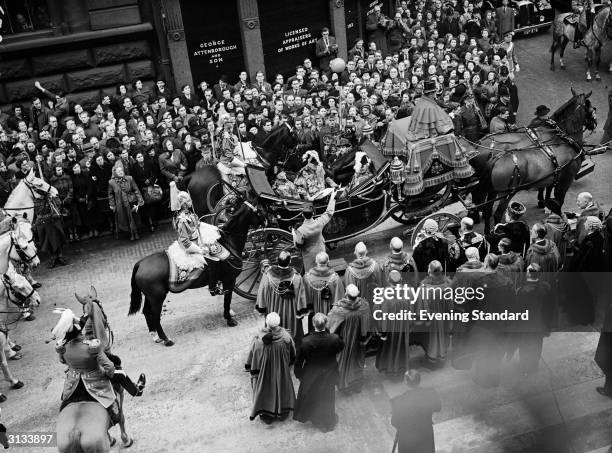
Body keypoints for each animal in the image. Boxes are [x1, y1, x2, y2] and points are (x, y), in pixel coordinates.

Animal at [129, 188, 262, 346]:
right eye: (258, 211)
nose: (267, 220)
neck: (228, 243)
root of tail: (140, 263)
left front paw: (229, 314)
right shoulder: (229, 280)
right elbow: (227, 300)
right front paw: (229, 319)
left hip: (150, 297)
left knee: (146, 312)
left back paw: (155, 336)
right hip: (157, 297)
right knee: (155, 315)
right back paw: (165, 339)